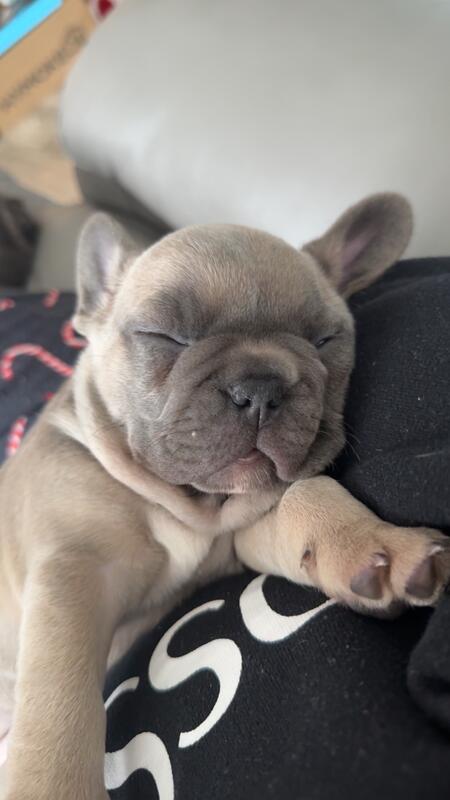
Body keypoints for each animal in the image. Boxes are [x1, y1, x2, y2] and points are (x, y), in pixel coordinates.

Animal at [0, 192, 448, 799]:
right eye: (164, 336)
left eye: (326, 341)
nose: (260, 387)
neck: (183, 506)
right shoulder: (72, 572)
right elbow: (58, 708)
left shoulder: (241, 536)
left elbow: (307, 492)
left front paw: (372, 543)